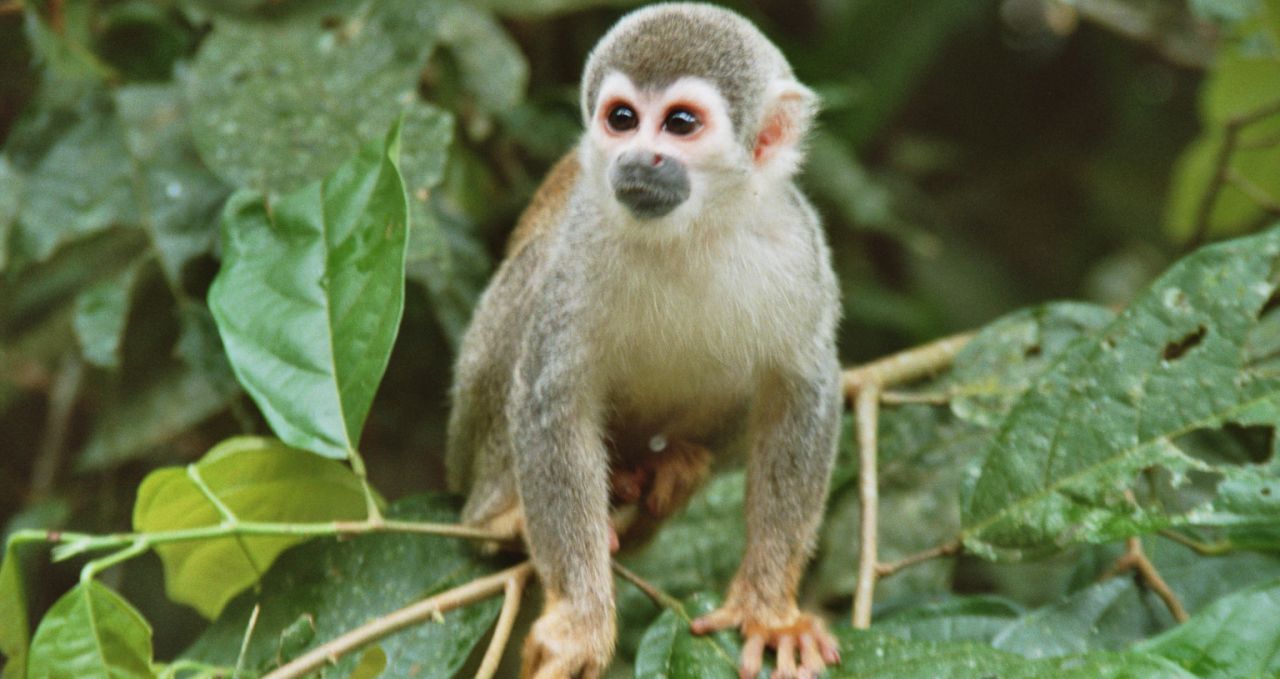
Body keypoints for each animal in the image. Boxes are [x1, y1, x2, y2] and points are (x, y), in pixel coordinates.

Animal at [445, 2, 844, 671]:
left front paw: (770, 608)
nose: (637, 158)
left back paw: (668, 466)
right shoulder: (581, 246)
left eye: (680, 123)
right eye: (623, 119)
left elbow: (803, 387)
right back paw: (499, 514)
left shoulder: (796, 247)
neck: (690, 229)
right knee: (530, 280)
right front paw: (581, 620)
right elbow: (552, 396)